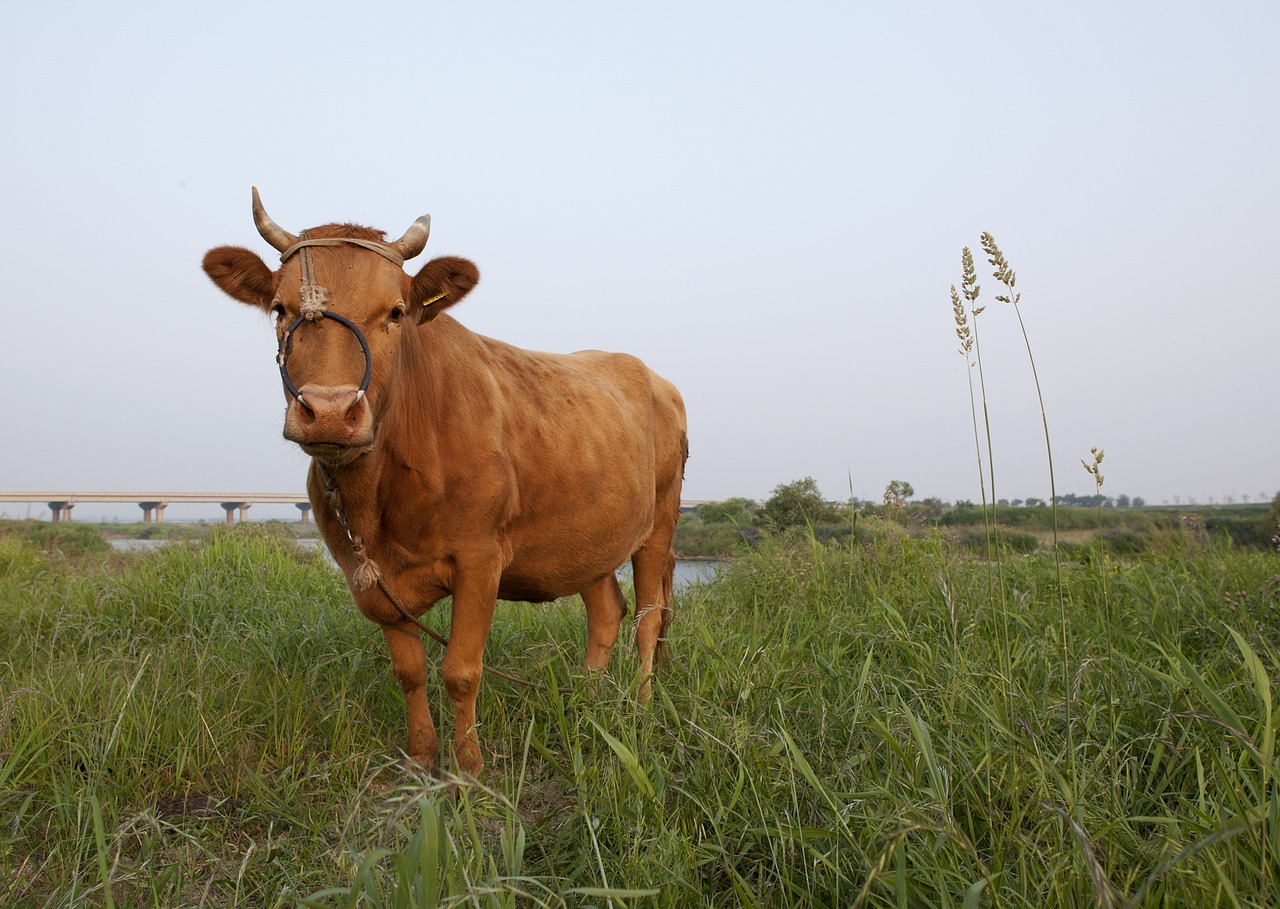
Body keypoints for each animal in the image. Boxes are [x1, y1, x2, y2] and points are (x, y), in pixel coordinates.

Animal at [203, 188, 691, 778]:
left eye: (395, 313)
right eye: (281, 309)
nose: (330, 412)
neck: (379, 498)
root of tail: (653, 377)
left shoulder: (481, 557)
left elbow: (461, 670)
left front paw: (469, 770)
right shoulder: (367, 576)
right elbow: (409, 672)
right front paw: (420, 758)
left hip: (660, 522)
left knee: (648, 617)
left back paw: (639, 707)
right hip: (588, 537)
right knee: (605, 614)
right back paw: (588, 702)